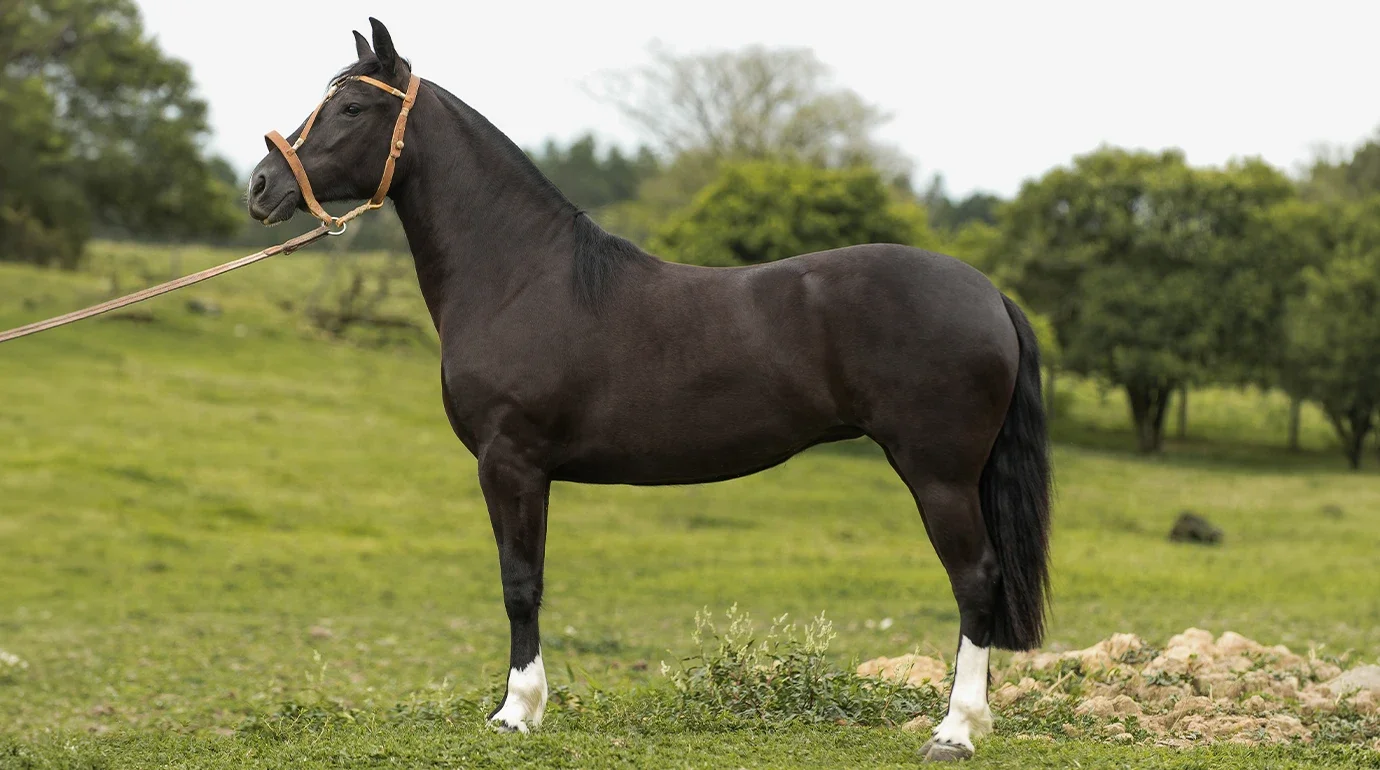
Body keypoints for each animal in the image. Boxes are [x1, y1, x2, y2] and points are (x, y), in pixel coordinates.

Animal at [246, 18, 1052, 763]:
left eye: (351, 107)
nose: (260, 186)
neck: (520, 275)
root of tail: (989, 293)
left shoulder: (511, 462)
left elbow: (520, 582)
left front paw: (517, 713)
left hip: (938, 473)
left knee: (975, 579)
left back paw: (955, 731)